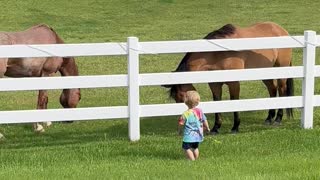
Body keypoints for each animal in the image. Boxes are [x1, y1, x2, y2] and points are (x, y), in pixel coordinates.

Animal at [164, 21, 294, 134]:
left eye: (182, 96)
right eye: (175, 98)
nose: (183, 120)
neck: (216, 54)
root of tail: (282, 30)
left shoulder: (234, 83)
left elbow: (234, 102)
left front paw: (235, 127)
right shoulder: (215, 84)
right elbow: (217, 102)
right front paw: (216, 128)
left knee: (281, 90)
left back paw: (278, 119)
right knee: (272, 89)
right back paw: (269, 118)